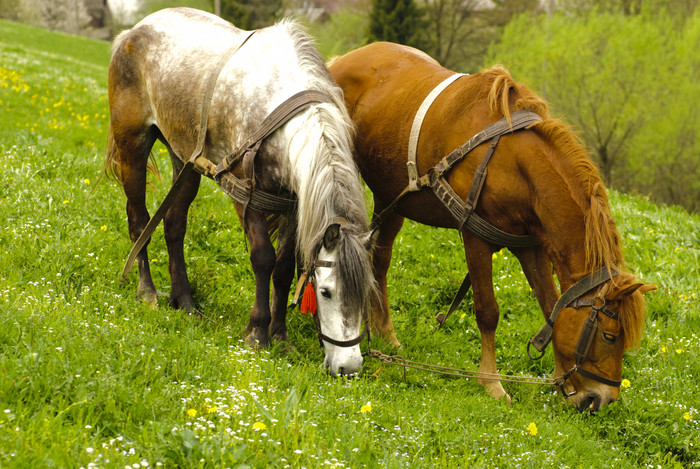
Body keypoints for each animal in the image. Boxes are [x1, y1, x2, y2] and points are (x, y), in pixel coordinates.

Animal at [104, 8, 378, 376]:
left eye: (365, 294)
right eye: (325, 292)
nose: (348, 368)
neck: (278, 111)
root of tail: (132, 31)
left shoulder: (293, 203)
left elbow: (283, 267)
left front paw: (280, 336)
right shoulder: (248, 198)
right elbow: (263, 259)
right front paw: (258, 332)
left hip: (184, 159)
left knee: (174, 225)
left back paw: (184, 301)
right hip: (132, 144)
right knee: (139, 221)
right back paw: (147, 292)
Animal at [328, 44, 656, 410]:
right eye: (610, 336)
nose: (602, 399)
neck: (512, 163)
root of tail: (343, 59)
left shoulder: (531, 246)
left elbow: (551, 307)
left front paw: (561, 379)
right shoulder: (475, 238)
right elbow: (488, 311)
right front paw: (491, 382)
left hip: (392, 196)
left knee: (380, 260)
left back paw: (385, 332)